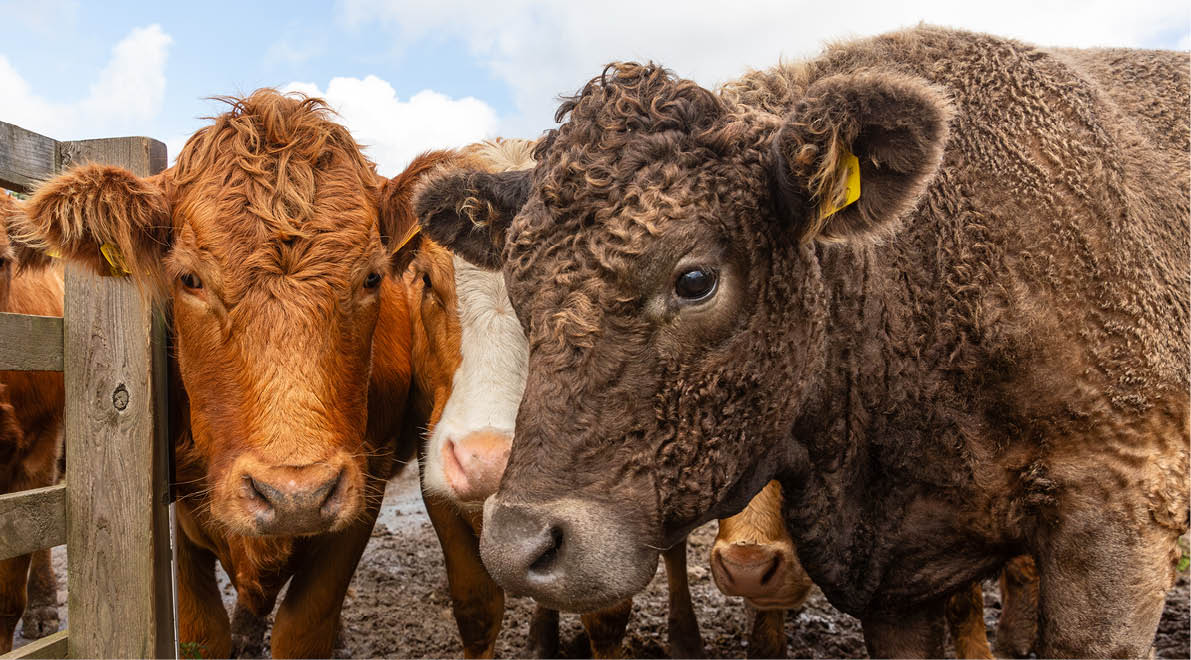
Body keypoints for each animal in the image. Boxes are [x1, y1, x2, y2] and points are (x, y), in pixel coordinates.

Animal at [18, 91, 419, 658]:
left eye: (371, 277)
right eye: (189, 279)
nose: (295, 496)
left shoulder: (366, 493)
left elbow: (305, 627)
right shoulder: (185, 509)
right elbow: (202, 631)